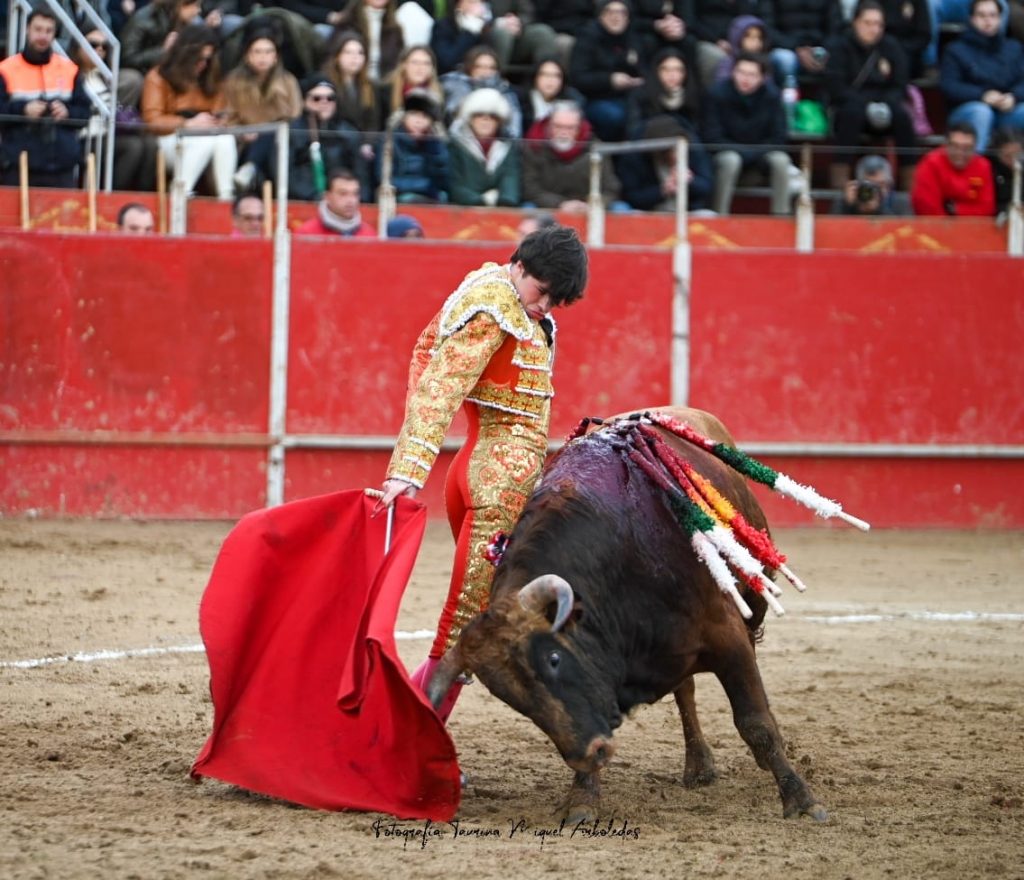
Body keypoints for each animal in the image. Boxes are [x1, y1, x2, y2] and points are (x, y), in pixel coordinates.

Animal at [428, 405, 827, 827]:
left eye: (553, 658)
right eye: (508, 697)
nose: (593, 752)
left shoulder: (728, 636)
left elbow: (755, 722)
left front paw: (802, 800)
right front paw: (583, 800)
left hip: (749, 609)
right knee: (685, 691)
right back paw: (699, 766)